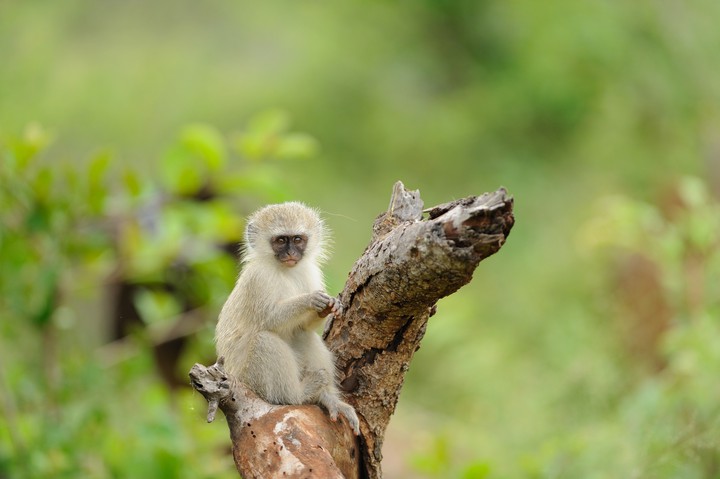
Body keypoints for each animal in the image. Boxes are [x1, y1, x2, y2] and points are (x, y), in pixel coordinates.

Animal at [215, 202, 360, 435]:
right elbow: (270, 319)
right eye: (281, 240)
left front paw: (330, 306)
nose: (291, 253)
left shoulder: (311, 272)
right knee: (265, 340)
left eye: (298, 239)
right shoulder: (258, 278)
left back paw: (328, 398)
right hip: (251, 380)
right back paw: (297, 394)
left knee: (304, 334)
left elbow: (305, 325)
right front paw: (310, 299)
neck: (285, 271)